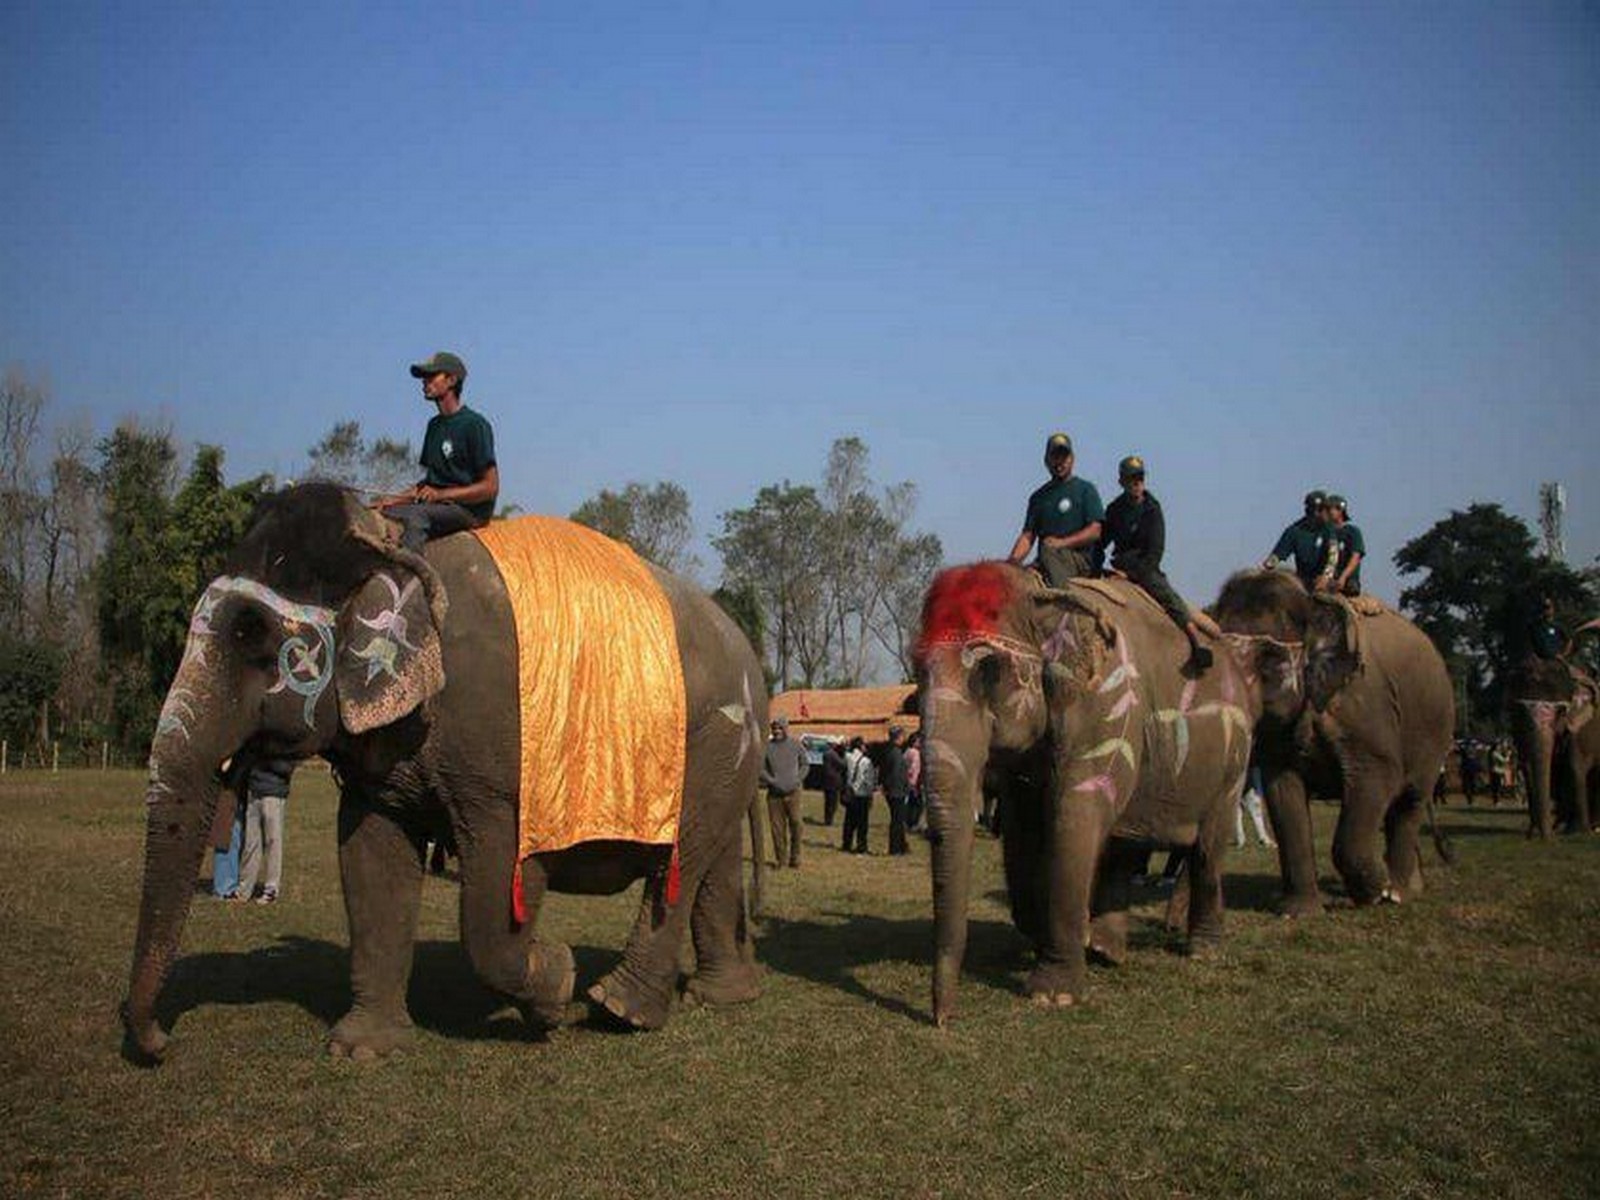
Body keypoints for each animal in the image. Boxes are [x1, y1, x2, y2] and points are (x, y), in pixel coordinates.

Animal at [123, 483, 766, 1062]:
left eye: (250, 634)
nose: (159, 1044)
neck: (386, 540)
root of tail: (753, 660)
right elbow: (370, 861)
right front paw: (362, 1049)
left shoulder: (502, 751)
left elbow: (499, 897)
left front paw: (556, 986)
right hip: (725, 755)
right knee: (712, 862)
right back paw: (721, 995)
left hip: (719, 737)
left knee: (679, 864)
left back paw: (618, 1010)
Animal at [916, 562, 1287, 1026]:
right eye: (916, 673)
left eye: (990, 672)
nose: (942, 1020)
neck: (1044, 594)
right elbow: (1023, 829)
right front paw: (1045, 939)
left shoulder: (1105, 709)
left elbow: (1073, 818)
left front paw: (1052, 995)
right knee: (1125, 840)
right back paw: (1105, 951)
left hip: (1233, 759)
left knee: (1208, 848)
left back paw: (1202, 951)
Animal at [1212, 570, 1454, 915]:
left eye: (1268, 661)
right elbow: (1283, 794)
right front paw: (1298, 912)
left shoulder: (1364, 707)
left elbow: (1377, 777)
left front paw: (1374, 893)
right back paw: (1407, 885)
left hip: (1434, 730)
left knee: (1410, 800)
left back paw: (1399, 892)